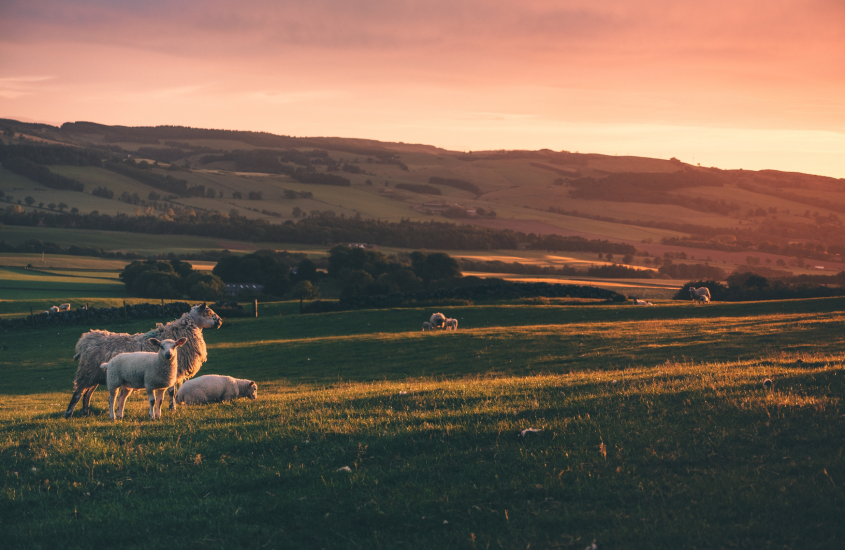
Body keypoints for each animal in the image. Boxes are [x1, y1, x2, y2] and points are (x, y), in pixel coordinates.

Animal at [63, 304, 223, 420]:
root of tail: (85, 340)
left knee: (86, 394)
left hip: (95, 375)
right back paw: (68, 414)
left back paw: (86, 413)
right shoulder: (172, 372)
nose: (220, 321)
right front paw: (172, 409)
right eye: (208, 312)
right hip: (87, 372)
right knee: (78, 393)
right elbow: (171, 392)